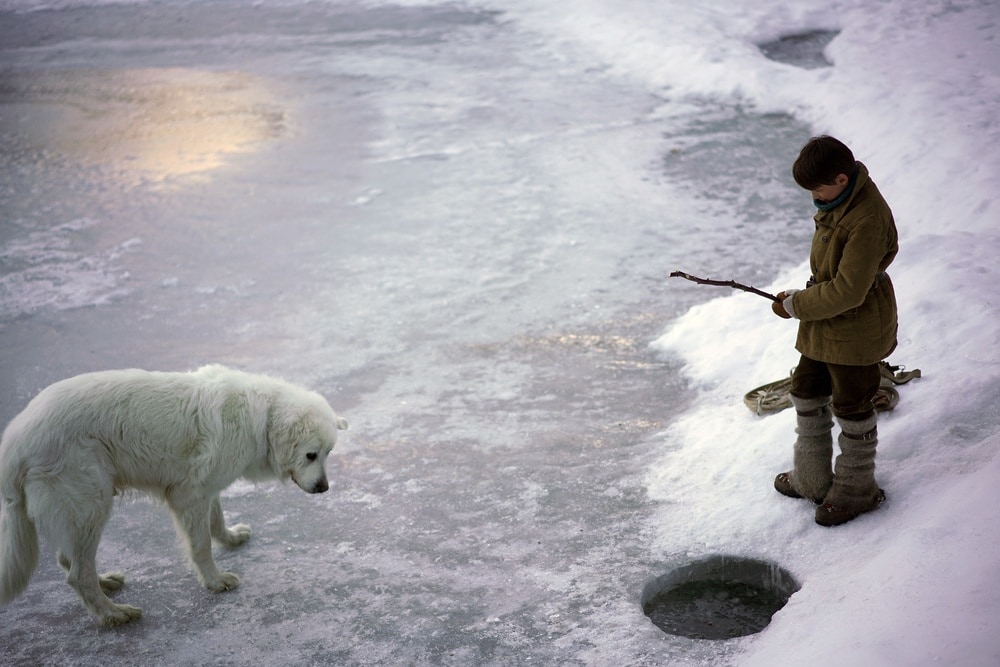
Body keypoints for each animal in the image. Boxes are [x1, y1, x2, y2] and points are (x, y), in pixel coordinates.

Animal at [0, 366, 348, 628]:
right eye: (310, 455)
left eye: (328, 453)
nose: (324, 488)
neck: (264, 420)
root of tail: (15, 441)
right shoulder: (188, 495)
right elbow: (201, 545)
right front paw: (215, 581)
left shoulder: (206, 487)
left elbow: (216, 520)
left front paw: (231, 538)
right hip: (91, 504)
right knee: (77, 575)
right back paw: (113, 613)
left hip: (80, 510)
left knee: (68, 559)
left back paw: (106, 584)